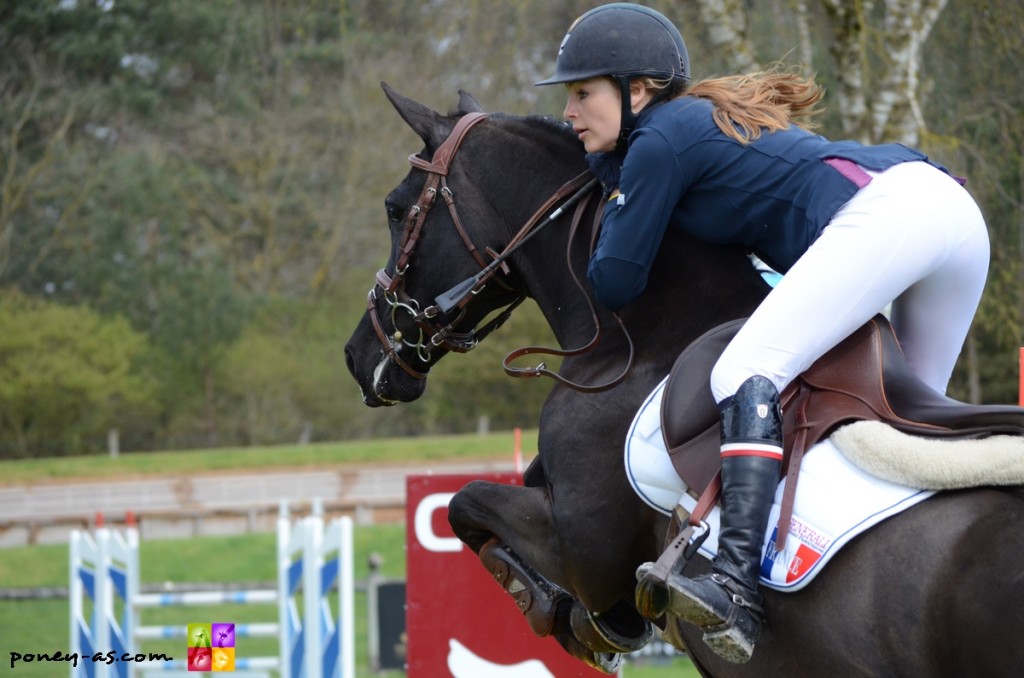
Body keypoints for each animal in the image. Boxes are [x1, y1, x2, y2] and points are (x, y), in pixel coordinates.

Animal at [344, 87, 1024, 675]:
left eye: (395, 209)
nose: (357, 355)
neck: (645, 331)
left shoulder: (582, 543)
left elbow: (465, 504)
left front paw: (561, 611)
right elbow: (469, 505)